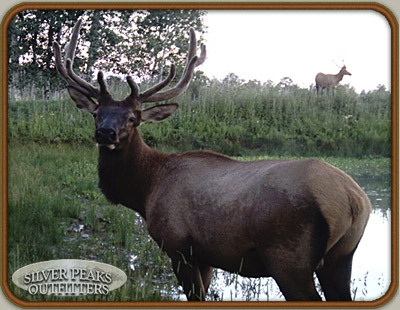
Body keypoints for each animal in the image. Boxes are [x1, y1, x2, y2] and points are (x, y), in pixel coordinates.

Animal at [54, 18, 372, 300]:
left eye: (133, 118)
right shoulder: (206, 255)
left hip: (288, 257)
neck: (146, 190)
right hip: (341, 256)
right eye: (96, 113)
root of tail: (353, 200)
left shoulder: (179, 245)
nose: (105, 132)